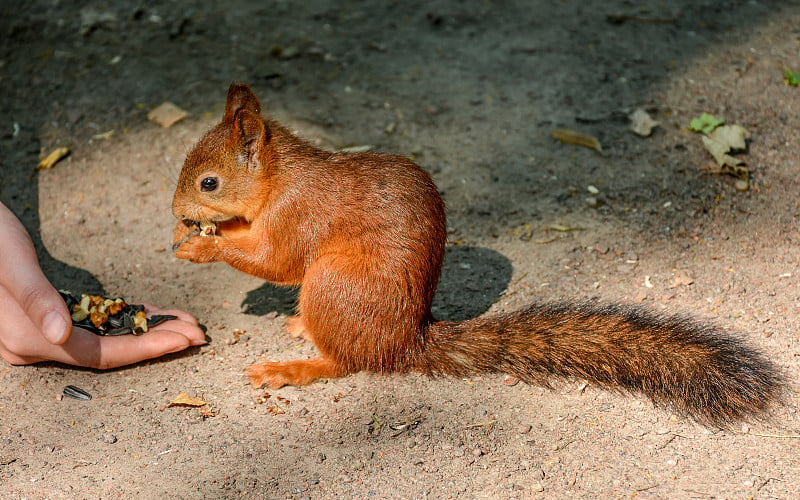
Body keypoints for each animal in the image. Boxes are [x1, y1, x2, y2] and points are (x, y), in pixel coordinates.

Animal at [173, 82, 780, 426]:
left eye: (208, 182)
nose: (177, 210)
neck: (279, 177)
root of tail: (406, 339)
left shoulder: (297, 214)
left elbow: (275, 261)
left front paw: (202, 244)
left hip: (332, 286)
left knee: (346, 362)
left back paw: (290, 367)